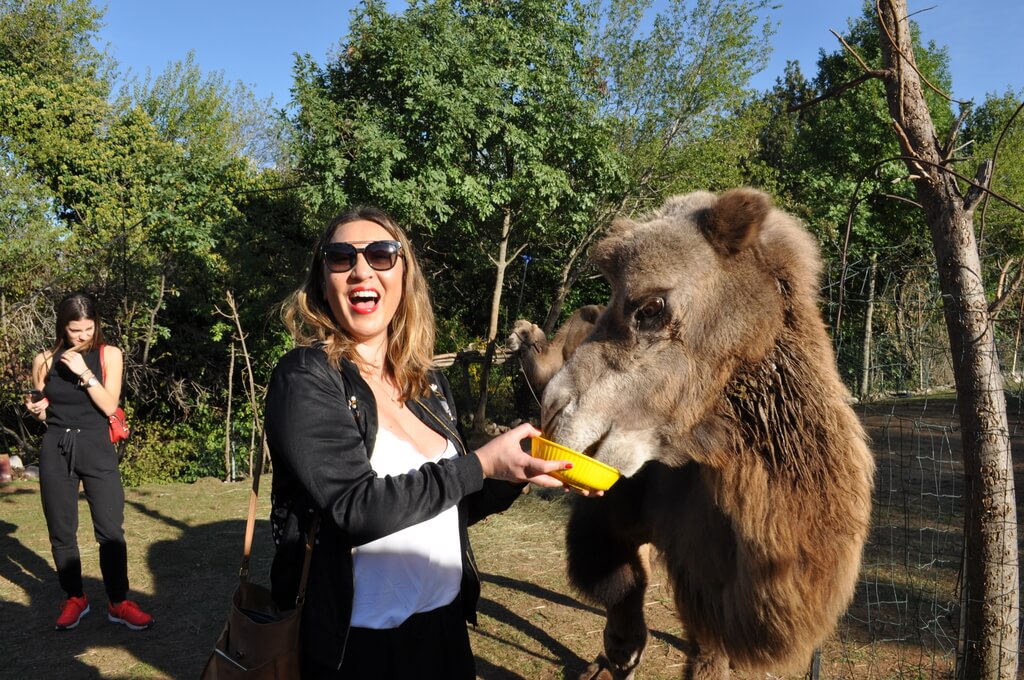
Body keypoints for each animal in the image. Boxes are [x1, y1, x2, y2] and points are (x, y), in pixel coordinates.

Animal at [541, 188, 875, 680]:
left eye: (651, 307)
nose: (552, 409)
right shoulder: (619, 510)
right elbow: (614, 580)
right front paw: (619, 651)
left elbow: (707, 654)